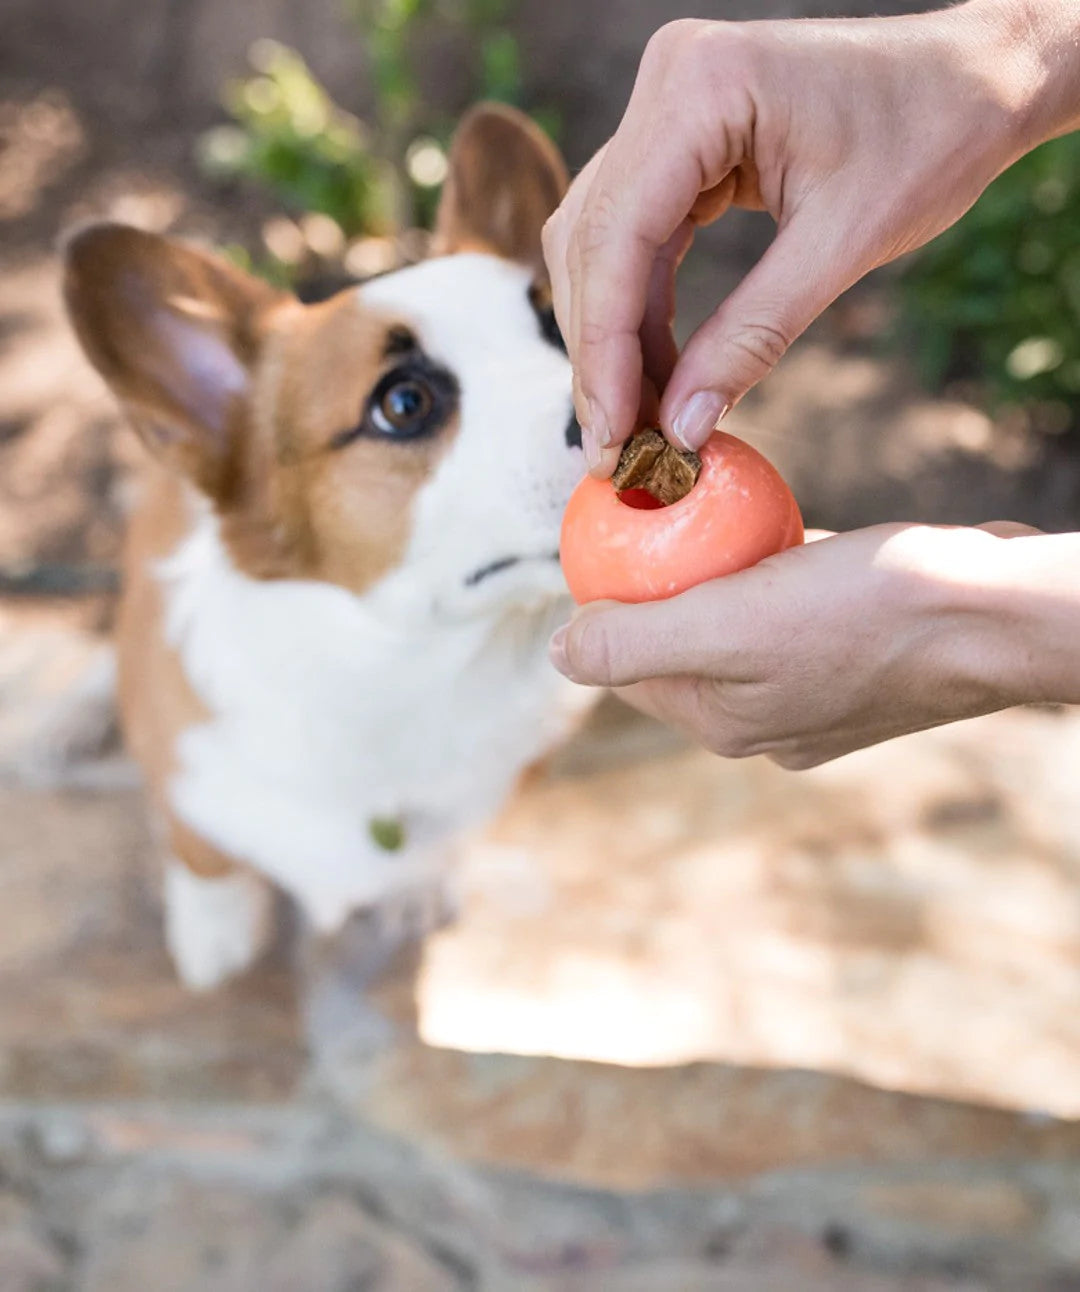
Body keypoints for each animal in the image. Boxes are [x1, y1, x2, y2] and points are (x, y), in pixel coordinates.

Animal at [60, 105, 591, 992]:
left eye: (559, 328)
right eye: (404, 404)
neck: (407, 672)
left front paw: (416, 892)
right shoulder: (187, 786)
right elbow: (203, 854)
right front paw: (215, 935)